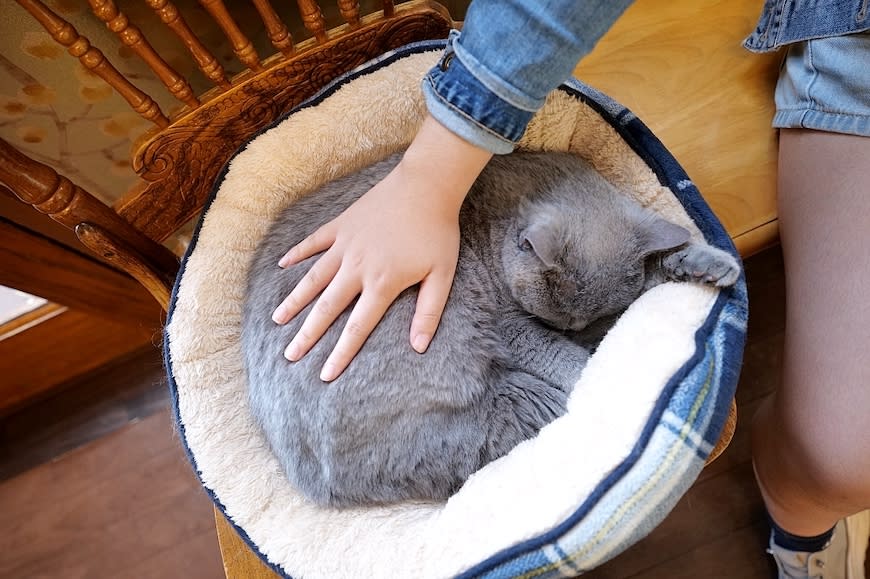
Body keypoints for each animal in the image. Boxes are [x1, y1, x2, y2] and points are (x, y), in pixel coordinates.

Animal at [240, 151, 744, 508]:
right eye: (557, 319)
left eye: (577, 317)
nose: (566, 327)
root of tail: (312, 483)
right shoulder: (515, 329)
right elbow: (567, 356)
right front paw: (598, 366)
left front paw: (710, 264)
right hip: (508, 400)